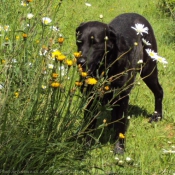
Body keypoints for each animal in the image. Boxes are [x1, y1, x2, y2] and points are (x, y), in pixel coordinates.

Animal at [75, 13, 164, 154]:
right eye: (79, 42)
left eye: (95, 43)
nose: (80, 62)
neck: (106, 67)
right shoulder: (90, 97)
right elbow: (89, 124)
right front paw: (85, 147)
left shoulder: (123, 96)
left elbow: (121, 125)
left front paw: (120, 148)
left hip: (148, 69)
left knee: (159, 91)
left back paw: (157, 116)